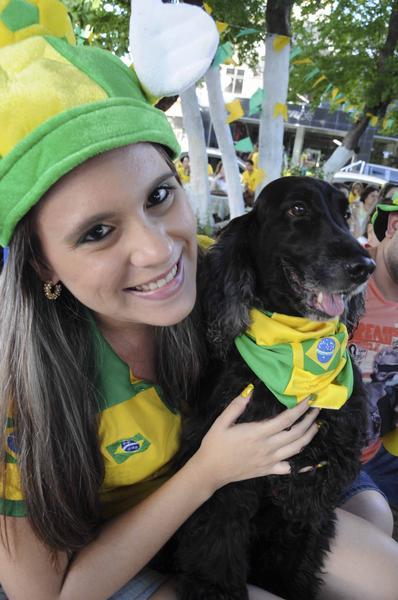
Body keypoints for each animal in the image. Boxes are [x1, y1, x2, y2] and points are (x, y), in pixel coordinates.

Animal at [173, 177, 374, 600]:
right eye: (298, 209)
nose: (365, 267)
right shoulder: (225, 478)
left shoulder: (314, 490)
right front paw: (212, 589)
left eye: (345, 212)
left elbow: (299, 558)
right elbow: (215, 549)